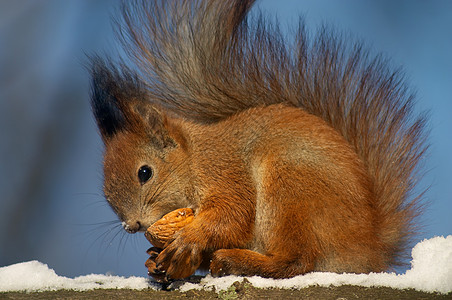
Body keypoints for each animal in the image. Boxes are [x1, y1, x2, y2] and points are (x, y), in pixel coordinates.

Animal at [89, 0, 428, 282]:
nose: (133, 225)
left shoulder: (224, 169)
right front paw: (156, 258)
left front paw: (189, 239)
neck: (194, 158)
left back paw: (238, 262)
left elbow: (232, 213)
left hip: (290, 186)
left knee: (296, 261)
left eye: (144, 172)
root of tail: (368, 248)